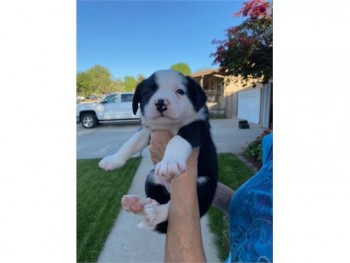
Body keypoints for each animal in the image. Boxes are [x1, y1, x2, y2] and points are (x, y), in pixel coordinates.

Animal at [98, 69, 217, 233]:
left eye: (180, 91)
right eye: (148, 91)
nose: (161, 103)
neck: (168, 126)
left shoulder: (198, 127)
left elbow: (178, 139)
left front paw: (169, 162)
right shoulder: (147, 131)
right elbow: (131, 142)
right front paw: (113, 160)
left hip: (204, 185)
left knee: (171, 207)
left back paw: (155, 213)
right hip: (152, 178)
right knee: (156, 200)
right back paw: (138, 206)